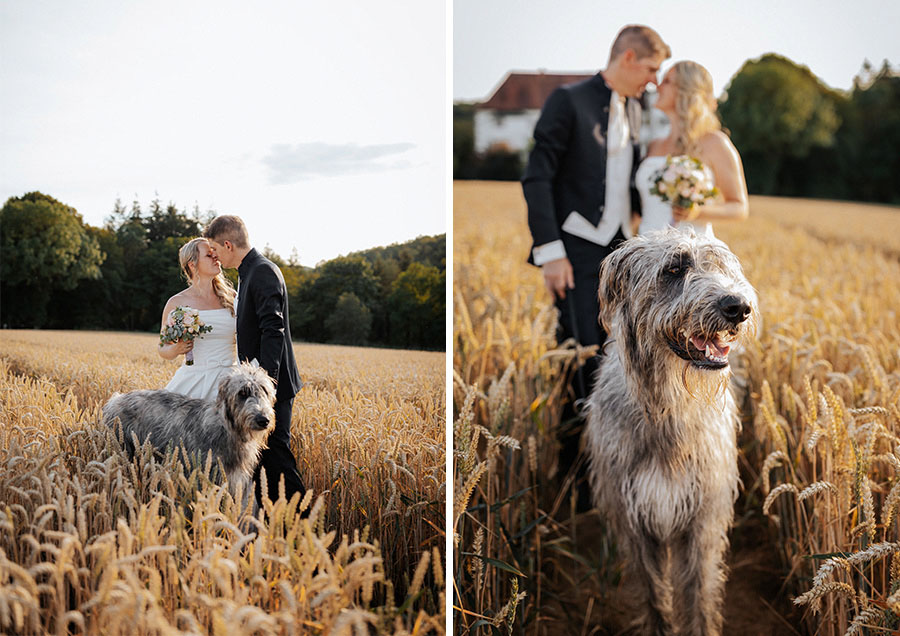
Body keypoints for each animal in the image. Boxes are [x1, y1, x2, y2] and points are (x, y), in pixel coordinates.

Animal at [588, 230, 756, 636]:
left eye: (723, 266)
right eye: (674, 269)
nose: (738, 307)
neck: (667, 408)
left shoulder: (702, 519)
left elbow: (698, 592)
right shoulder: (633, 520)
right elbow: (652, 592)